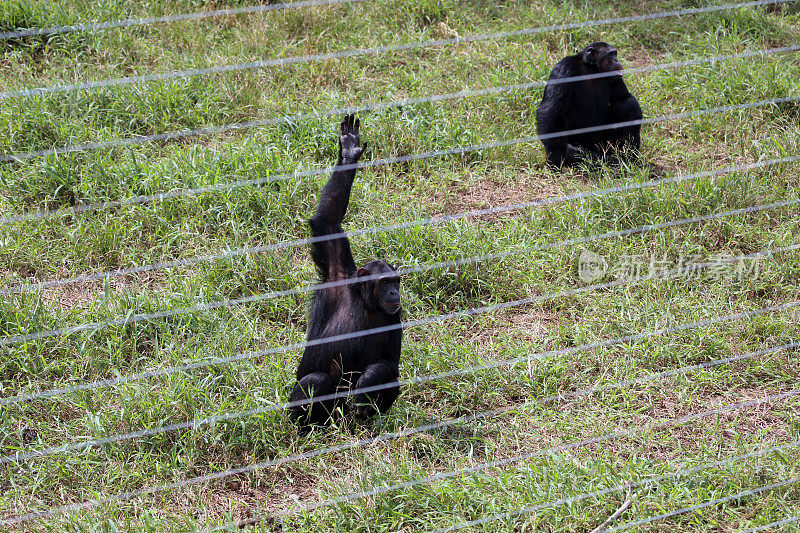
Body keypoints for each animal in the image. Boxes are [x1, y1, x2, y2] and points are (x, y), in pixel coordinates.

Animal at [288, 114, 400, 430]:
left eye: (395, 281)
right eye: (384, 282)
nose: (393, 291)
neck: (366, 301)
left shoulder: (397, 315)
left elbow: (389, 362)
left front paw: (368, 384)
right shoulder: (336, 271)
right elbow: (328, 220)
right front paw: (348, 151)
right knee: (316, 381)